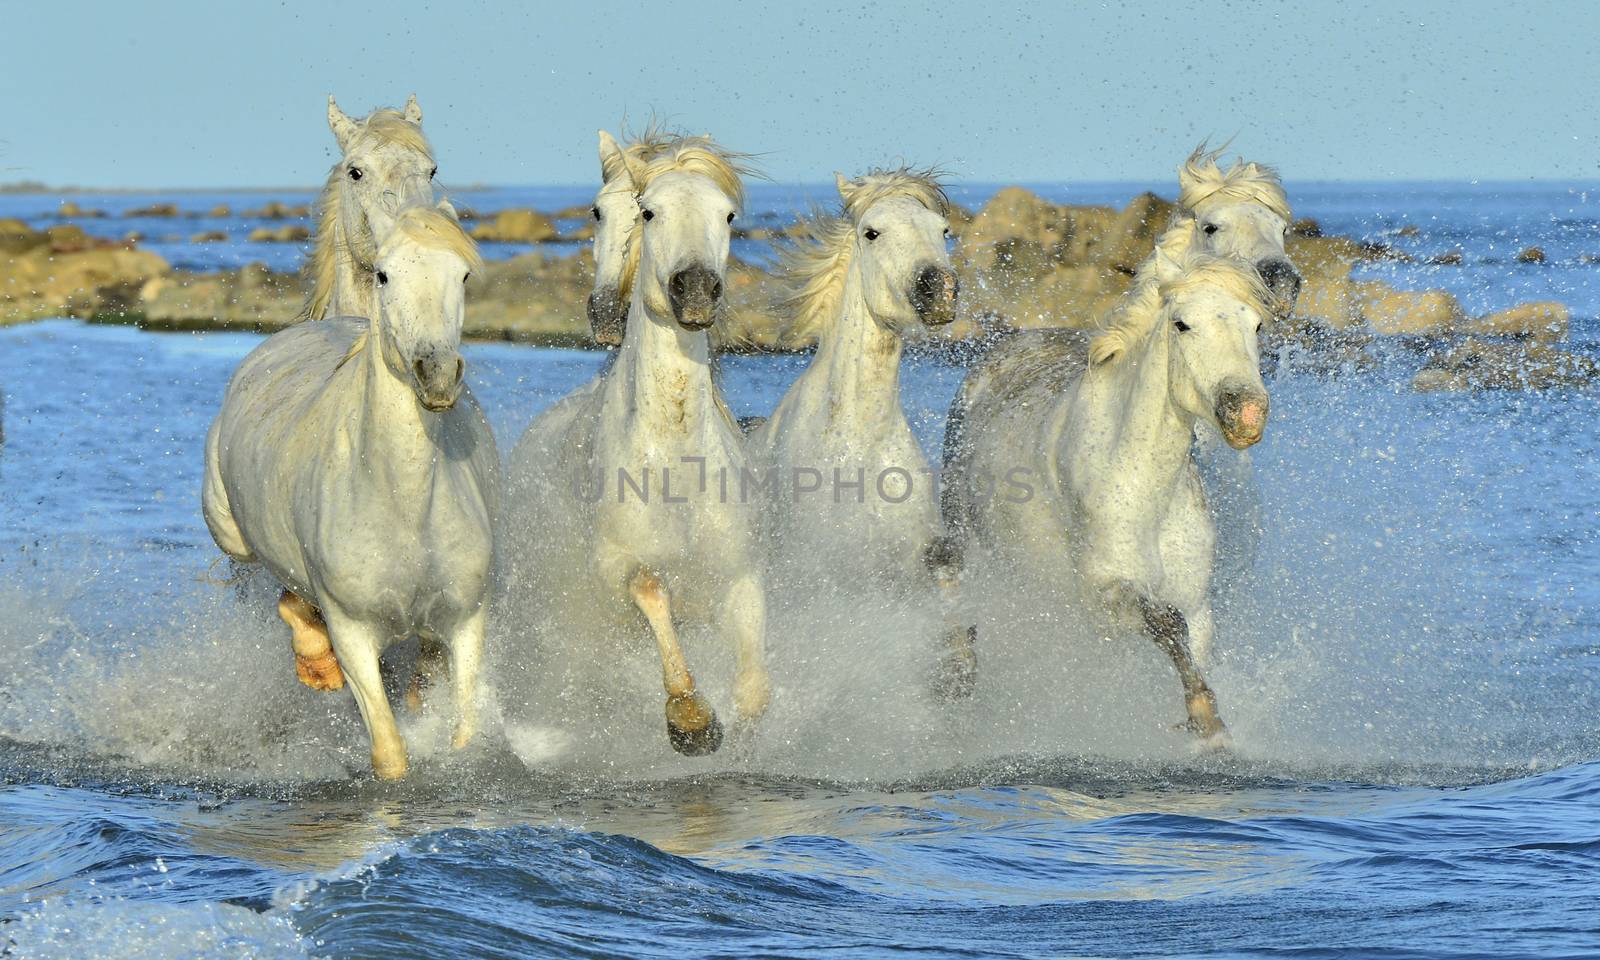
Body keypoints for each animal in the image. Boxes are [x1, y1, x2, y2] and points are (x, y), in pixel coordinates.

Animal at [203, 204, 496, 780]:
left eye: (464, 275)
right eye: (384, 275)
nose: (437, 375)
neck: (403, 506)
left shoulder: (466, 622)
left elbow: (465, 735)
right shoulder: (354, 632)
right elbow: (389, 753)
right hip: (233, 538)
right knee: (288, 594)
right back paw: (316, 665)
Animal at [505, 138, 768, 761]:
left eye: (729, 216)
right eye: (649, 212)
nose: (694, 290)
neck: (676, 463)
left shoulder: (740, 575)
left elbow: (754, 686)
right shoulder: (617, 572)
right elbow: (651, 589)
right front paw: (691, 720)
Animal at [934, 246, 1273, 742]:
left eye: (1257, 324)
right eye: (1182, 324)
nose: (1246, 412)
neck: (1142, 487)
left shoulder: (1198, 606)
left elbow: (1186, 641)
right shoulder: (1106, 598)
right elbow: (1166, 622)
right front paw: (1206, 723)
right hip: (966, 532)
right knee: (954, 587)